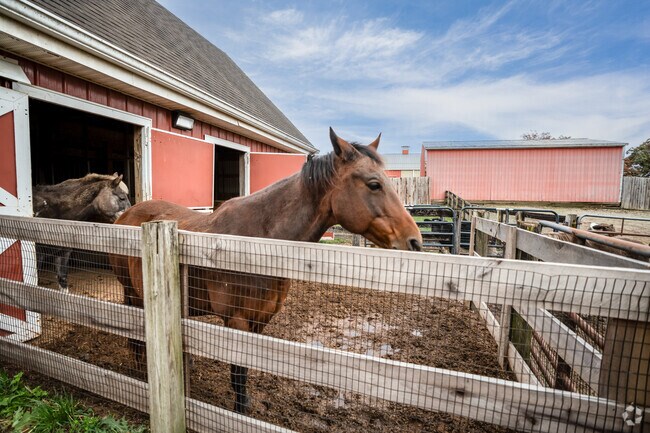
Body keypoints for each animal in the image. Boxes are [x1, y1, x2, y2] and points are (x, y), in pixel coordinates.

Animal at [110, 128, 423, 414]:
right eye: (374, 184)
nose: (414, 241)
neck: (259, 243)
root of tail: (126, 216)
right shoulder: (237, 320)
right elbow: (238, 372)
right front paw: (239, 411)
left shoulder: (260, 321)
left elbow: (247, 366)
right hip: (133, 293)